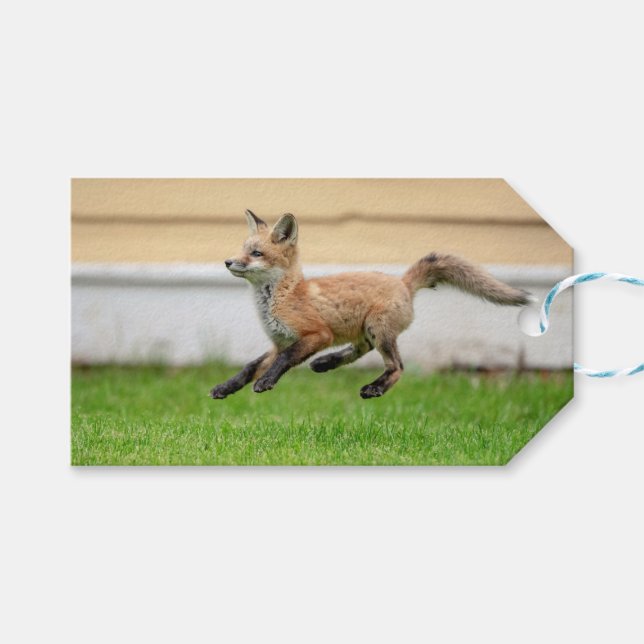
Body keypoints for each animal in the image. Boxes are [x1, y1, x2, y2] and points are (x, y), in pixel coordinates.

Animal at [210, 210, 531, 400]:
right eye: (243, 249)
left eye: (256, 253)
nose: (227, 261)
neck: (285, 296)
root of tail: (403, 282)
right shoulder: (280, 341)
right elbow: (250, 366)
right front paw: (226, 387)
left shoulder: (316, 334)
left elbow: (283, 361)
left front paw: (266, 383)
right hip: (366, 330)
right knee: (361, 349)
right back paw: (327, 363)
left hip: (379, 330)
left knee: (397, 367)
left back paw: (374, 387)